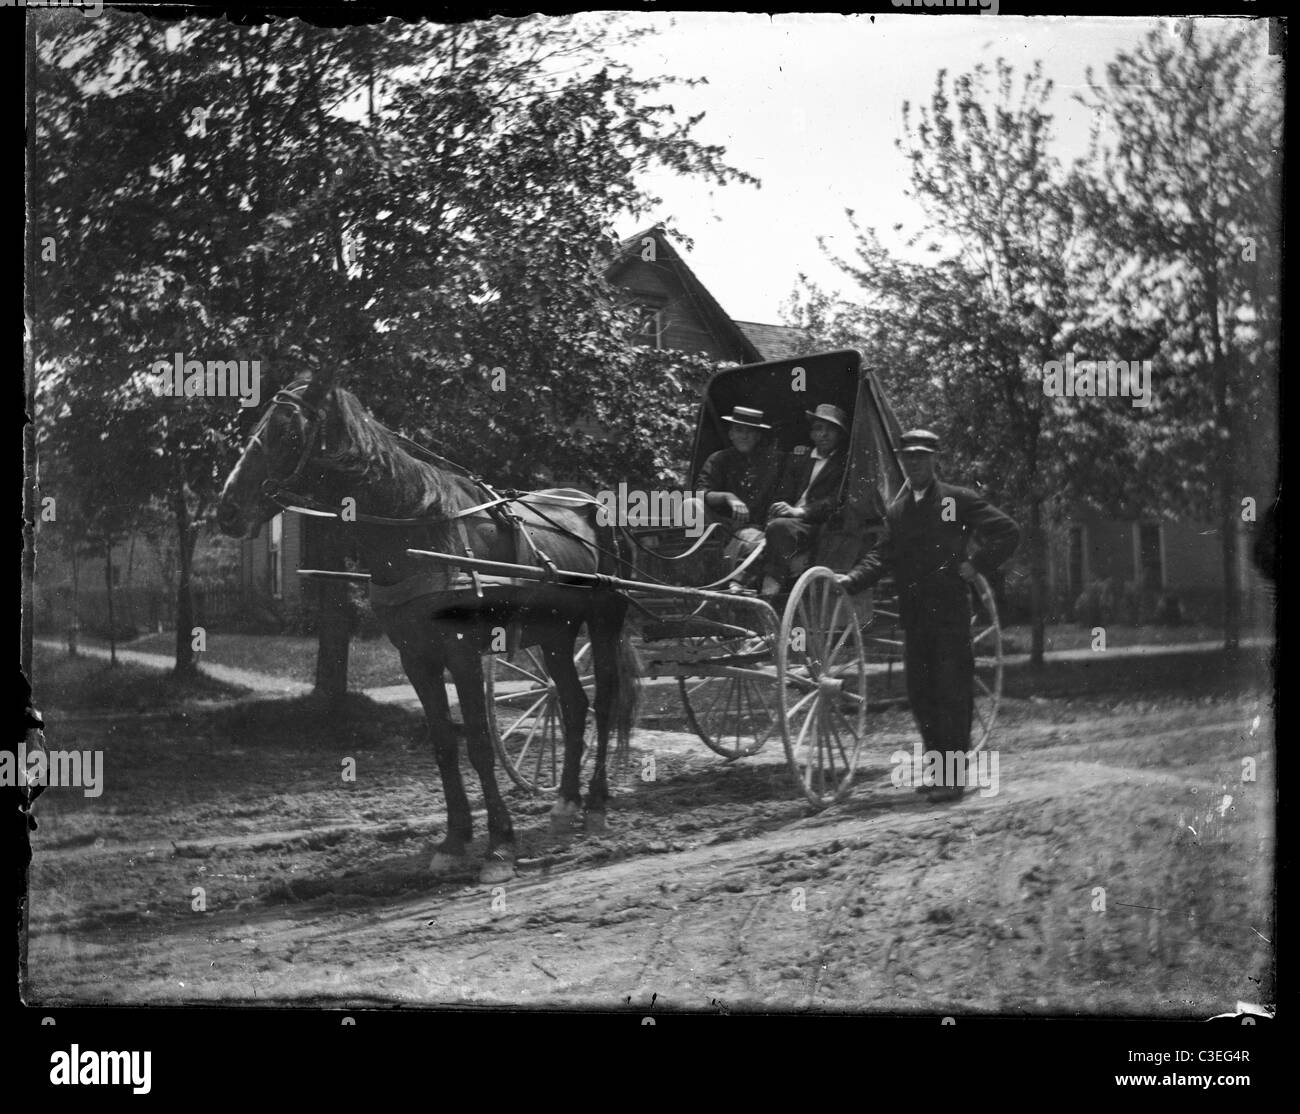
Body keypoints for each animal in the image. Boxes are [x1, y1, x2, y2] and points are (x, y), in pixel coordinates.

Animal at [215, 369, 642, 883]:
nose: (227, 508)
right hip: (556, 634)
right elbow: (443, 745)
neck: (420, 528)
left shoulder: (461, 653)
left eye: (287, 432)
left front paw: (500, 846)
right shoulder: (416, 657)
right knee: (574, 704)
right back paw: (565, 803)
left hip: (603, 621)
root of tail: (594, 505)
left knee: (604, 701)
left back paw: (595, 805)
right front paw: (454, 841)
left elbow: (478, 743)